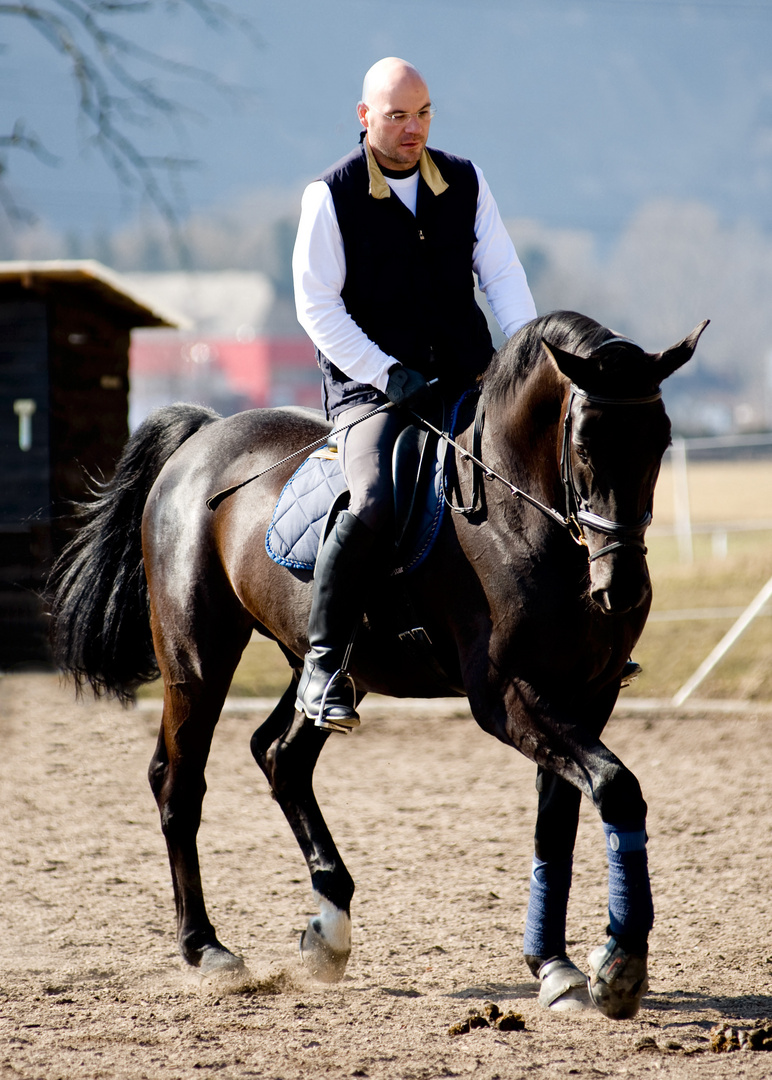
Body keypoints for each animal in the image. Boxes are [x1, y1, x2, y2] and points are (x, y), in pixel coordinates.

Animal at [49, 313, 708, 1019]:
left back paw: (328, 928)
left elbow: (559, 823)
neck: (522, 517)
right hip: (197, 657)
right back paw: (206, 948)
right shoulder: (507, 696)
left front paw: (554, 965)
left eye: (661, 438)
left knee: (280, 755)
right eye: (584, 444)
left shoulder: (588, 693)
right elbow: (616, 786)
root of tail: (202, 437)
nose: (623, 589)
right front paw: (620, 963)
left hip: (328, 667)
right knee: (179, 781)